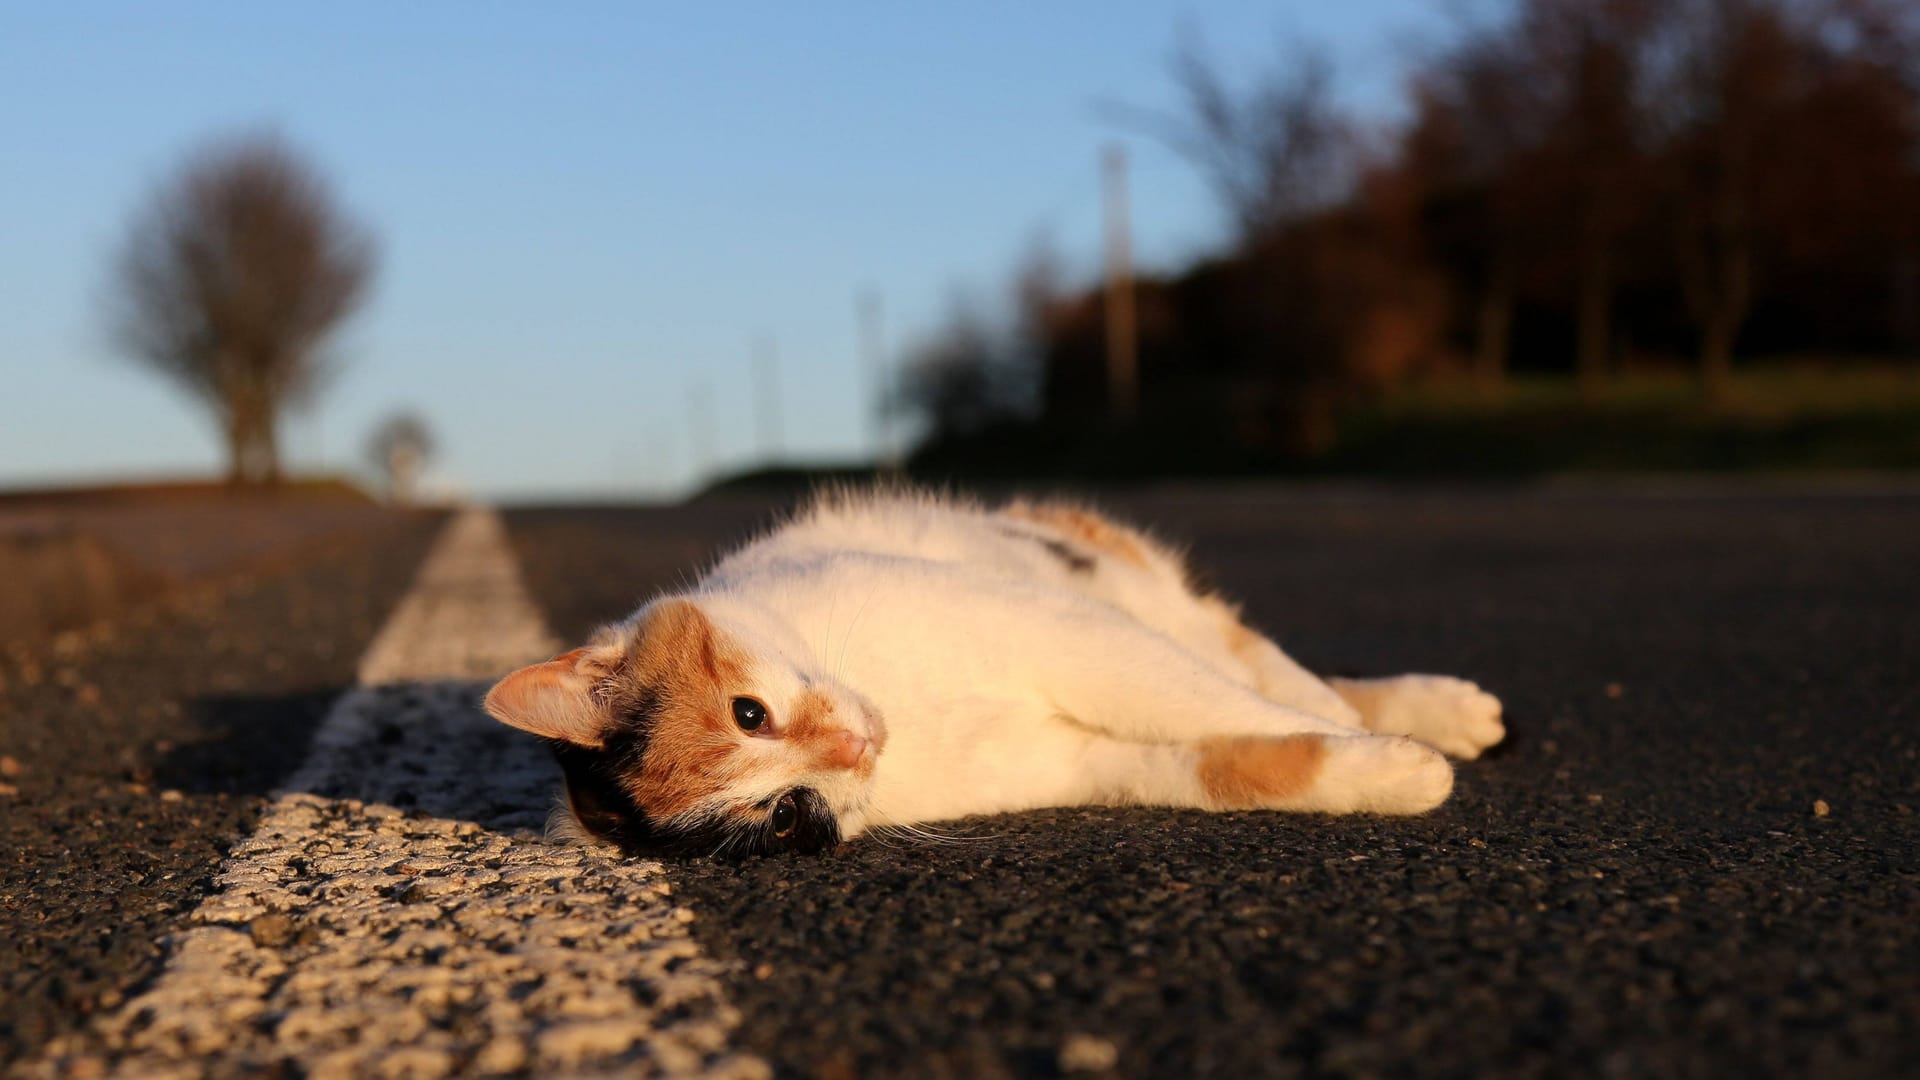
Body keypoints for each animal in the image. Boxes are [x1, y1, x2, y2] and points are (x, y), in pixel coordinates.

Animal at [480, 486, 1497, 849]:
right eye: (786, 818)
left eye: (748, 714)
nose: (853, 751)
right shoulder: (1080, 761)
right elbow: (1224, 762)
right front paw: (1391, 775)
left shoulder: (1058, 630)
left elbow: (1219, 700)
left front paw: (1379, 743)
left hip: (1119, 583)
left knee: (1255, 664)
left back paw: (1431, 707)